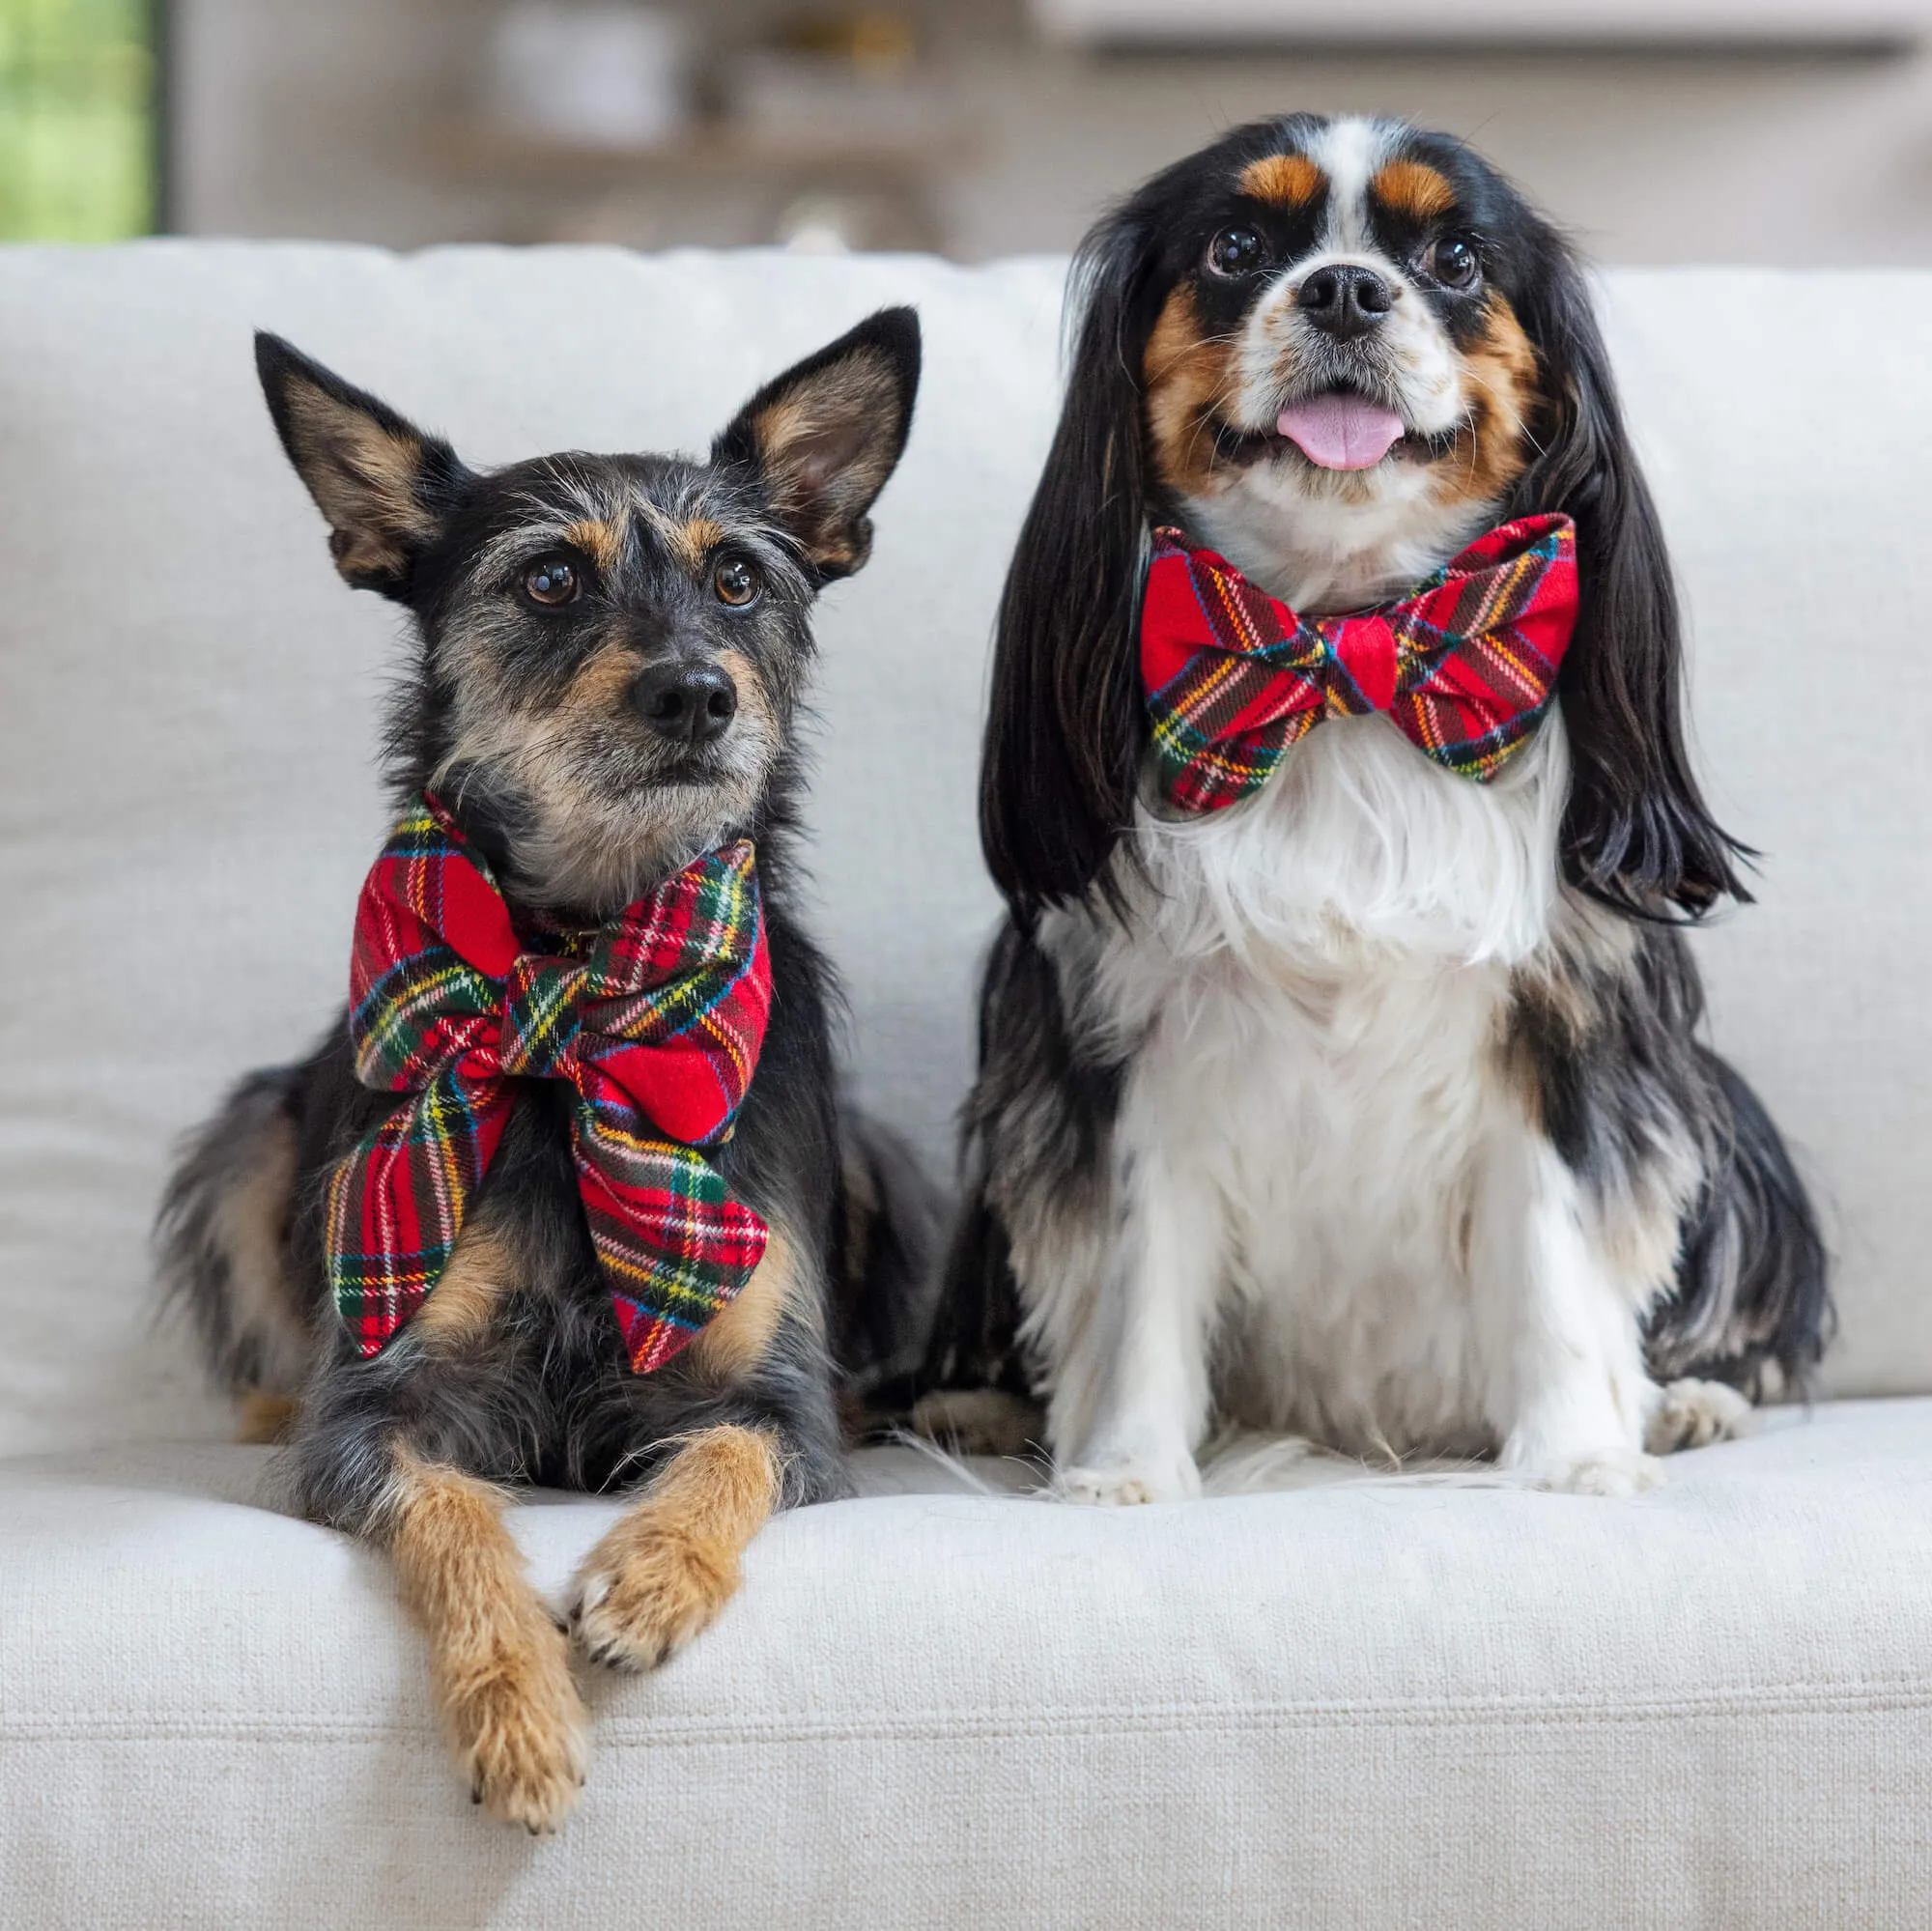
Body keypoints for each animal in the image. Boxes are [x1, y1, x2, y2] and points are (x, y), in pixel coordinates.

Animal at [158, 308, 927, 1831]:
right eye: (552, 577)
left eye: (740, 577)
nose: (695, 692)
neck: (587, 956)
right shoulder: (382, 1406)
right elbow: (452, 1513)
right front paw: (518, 1715)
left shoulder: (782, 1407)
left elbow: (728, 1452)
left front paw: (647, 1577)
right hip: (249, 1137)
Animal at [927, 112, 1832, 1506]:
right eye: (1236, 247)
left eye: (1454, 260)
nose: (1347, 287)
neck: (1346, 641)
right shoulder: (1126, 1037)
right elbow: (1139, 1277)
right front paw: (1125, 1471)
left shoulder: (1561, 1024)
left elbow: (1554, 1256)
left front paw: (1574, 1457)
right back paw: (972, 1406)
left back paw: (1687, 1404)